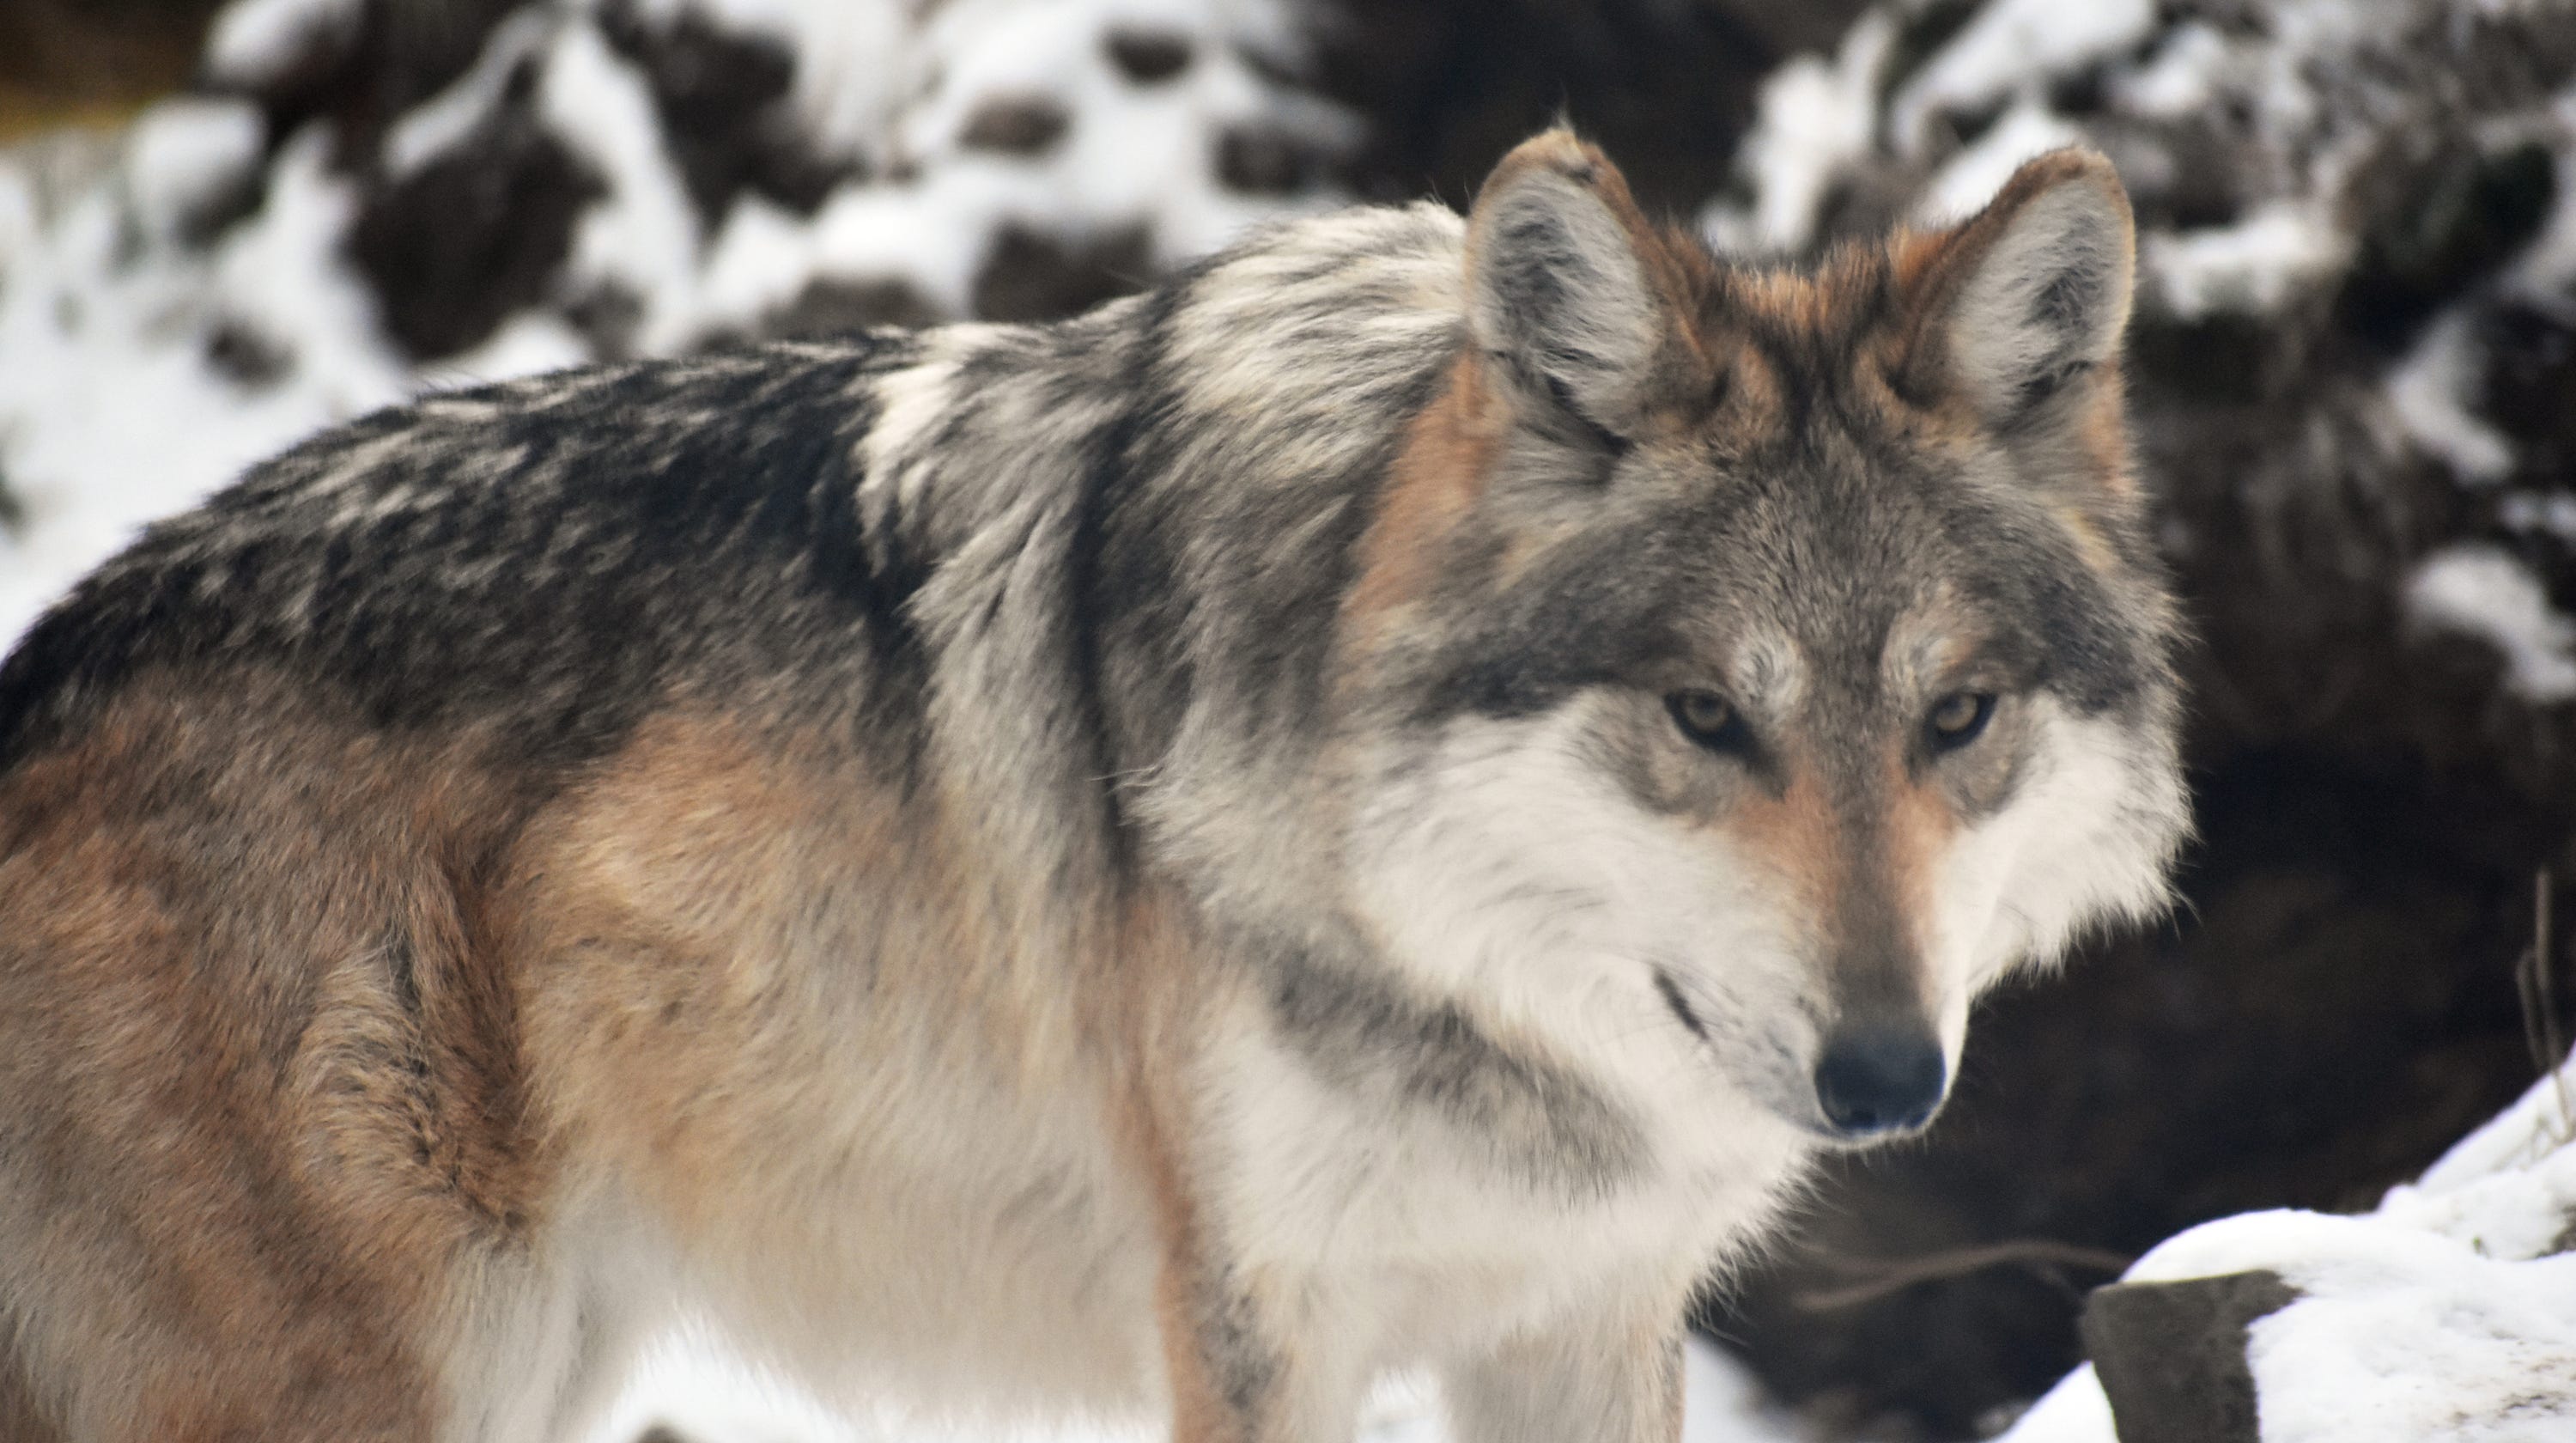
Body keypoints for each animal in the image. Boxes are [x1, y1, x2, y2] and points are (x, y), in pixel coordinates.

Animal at [0, 131, 2185, 1442]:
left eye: (1957, 715)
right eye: (1704, 716)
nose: (1887, 1077)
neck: (1463, 975)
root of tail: (52, 653)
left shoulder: (1575, 1323)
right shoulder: (1254, 1327)